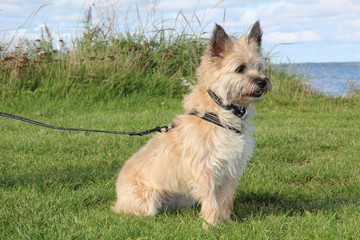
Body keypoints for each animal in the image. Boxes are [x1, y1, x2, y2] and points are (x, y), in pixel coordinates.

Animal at [112, 21, 270, 229]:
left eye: (259, 67)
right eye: (240, 68)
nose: (263, 82)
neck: (221, 112)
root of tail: (118, 195)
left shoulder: (231, 168)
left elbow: (226, 199)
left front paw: (226, 222)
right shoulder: (204, 169)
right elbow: (210, 199)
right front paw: (211, 225)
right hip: (147, 199)